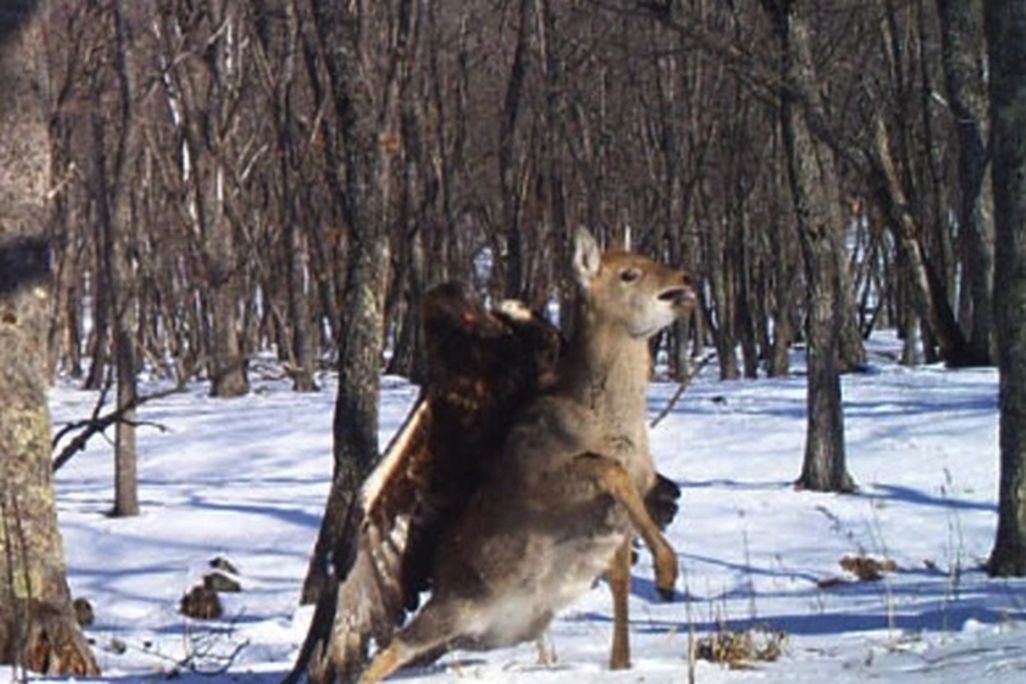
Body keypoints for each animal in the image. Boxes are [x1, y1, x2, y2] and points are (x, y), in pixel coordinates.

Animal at [345, 228, 695, 683]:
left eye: (649, 257)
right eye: (629, 273)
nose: (685, 279)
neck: (610, 423)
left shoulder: (629, 506)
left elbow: (620, 575)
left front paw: (623, 661)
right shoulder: (546, 482)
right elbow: (607, 470)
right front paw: (667, 575)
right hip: (451, 608)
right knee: (389, 650)